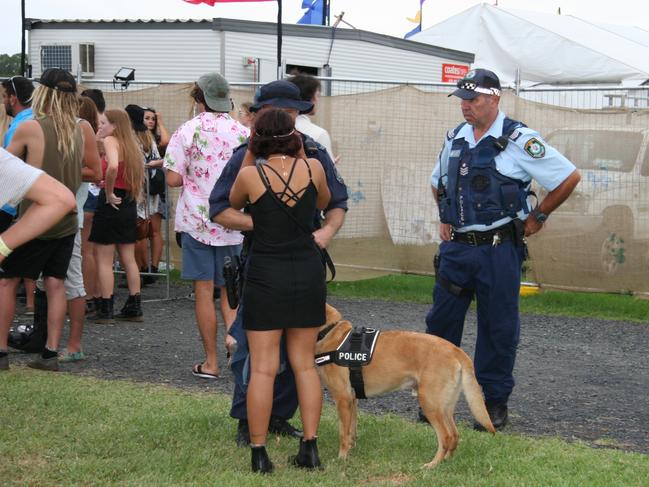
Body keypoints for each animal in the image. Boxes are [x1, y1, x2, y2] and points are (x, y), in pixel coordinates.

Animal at [316, 304, 494, 468]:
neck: (328, 331)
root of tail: (455, 349)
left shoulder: (342, 398)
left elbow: (343, 434)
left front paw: (342, 458)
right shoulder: (353, 400)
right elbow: (351, 431)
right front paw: (351, 450)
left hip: (429, 403)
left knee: (446, 437)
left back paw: (433, 465)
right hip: (445, 406)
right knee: (455, 436)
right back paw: (446, 461)